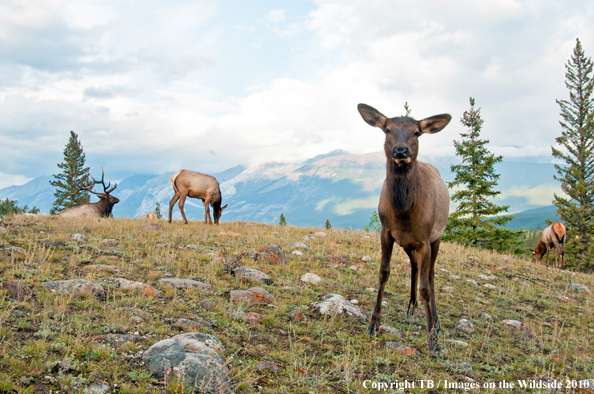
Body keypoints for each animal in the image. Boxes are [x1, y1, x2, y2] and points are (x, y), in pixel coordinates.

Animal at [356, 102, 448, 354]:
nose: (400, 150)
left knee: (431, 274)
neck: (404, 213)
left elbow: (426, 287)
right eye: (387, 129)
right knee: (415, 265)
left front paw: (433, 342)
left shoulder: (425, 239)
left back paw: (436, 323)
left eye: (416, 132)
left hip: (436, 238)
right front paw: (373, 324)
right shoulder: (387, 232)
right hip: (407, 243)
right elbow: (383, 273)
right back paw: (411, 307)